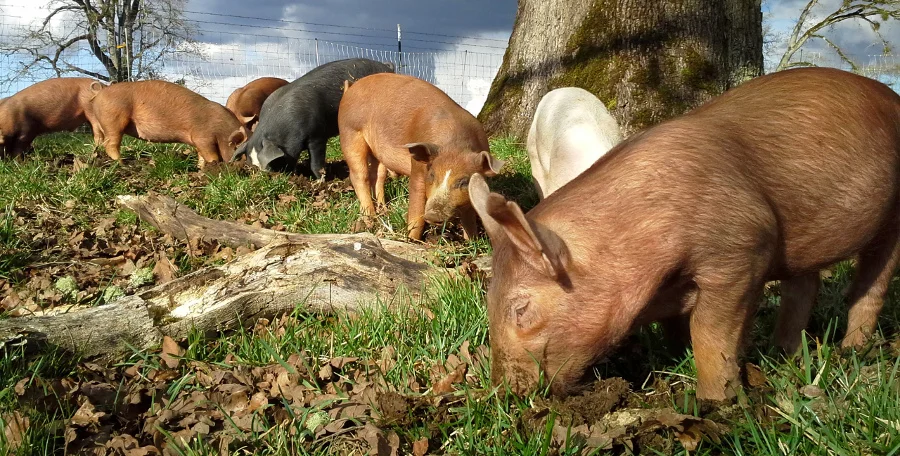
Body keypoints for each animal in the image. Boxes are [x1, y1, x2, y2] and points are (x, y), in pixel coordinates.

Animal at [91, 80, 246, 164]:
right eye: (238, 151)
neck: (222, 130)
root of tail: (99, 94)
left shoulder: (199, 142)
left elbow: (201, 155)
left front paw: (200, 168)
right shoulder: (203, 136)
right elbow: (211, 155)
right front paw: (213, 166)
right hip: (113, 120)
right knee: (110, 144)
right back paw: (122, 163)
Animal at [231, 58, 394, 178]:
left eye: (275, 162)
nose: (270, 177)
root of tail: (387, 66)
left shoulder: (317, 135)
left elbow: (316, 162)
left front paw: (321, 179)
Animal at [338, 73, 504, 241]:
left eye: (464, 182)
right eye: (431, 175)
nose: (432, 215)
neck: (455, 145)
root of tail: (350, 88)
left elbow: (469, 214)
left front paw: (471, 240)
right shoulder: (417, 169)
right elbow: (416, 209)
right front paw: (411, 240)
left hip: (376, 151)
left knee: (378, 175)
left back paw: (384, 210)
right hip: (350, 133)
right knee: (359, 176)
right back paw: (371, 218)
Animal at [469, 67, 900, 402]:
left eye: (521, 309)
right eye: (488, 299)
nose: (502, 393)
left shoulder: (741, 249)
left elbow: (710, 336)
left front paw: (715, 403)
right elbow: (676, 328)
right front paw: (672, 361)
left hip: (892, 223)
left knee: (870, 286)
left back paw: (851, 350)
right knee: (804, 286)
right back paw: (784, 354)